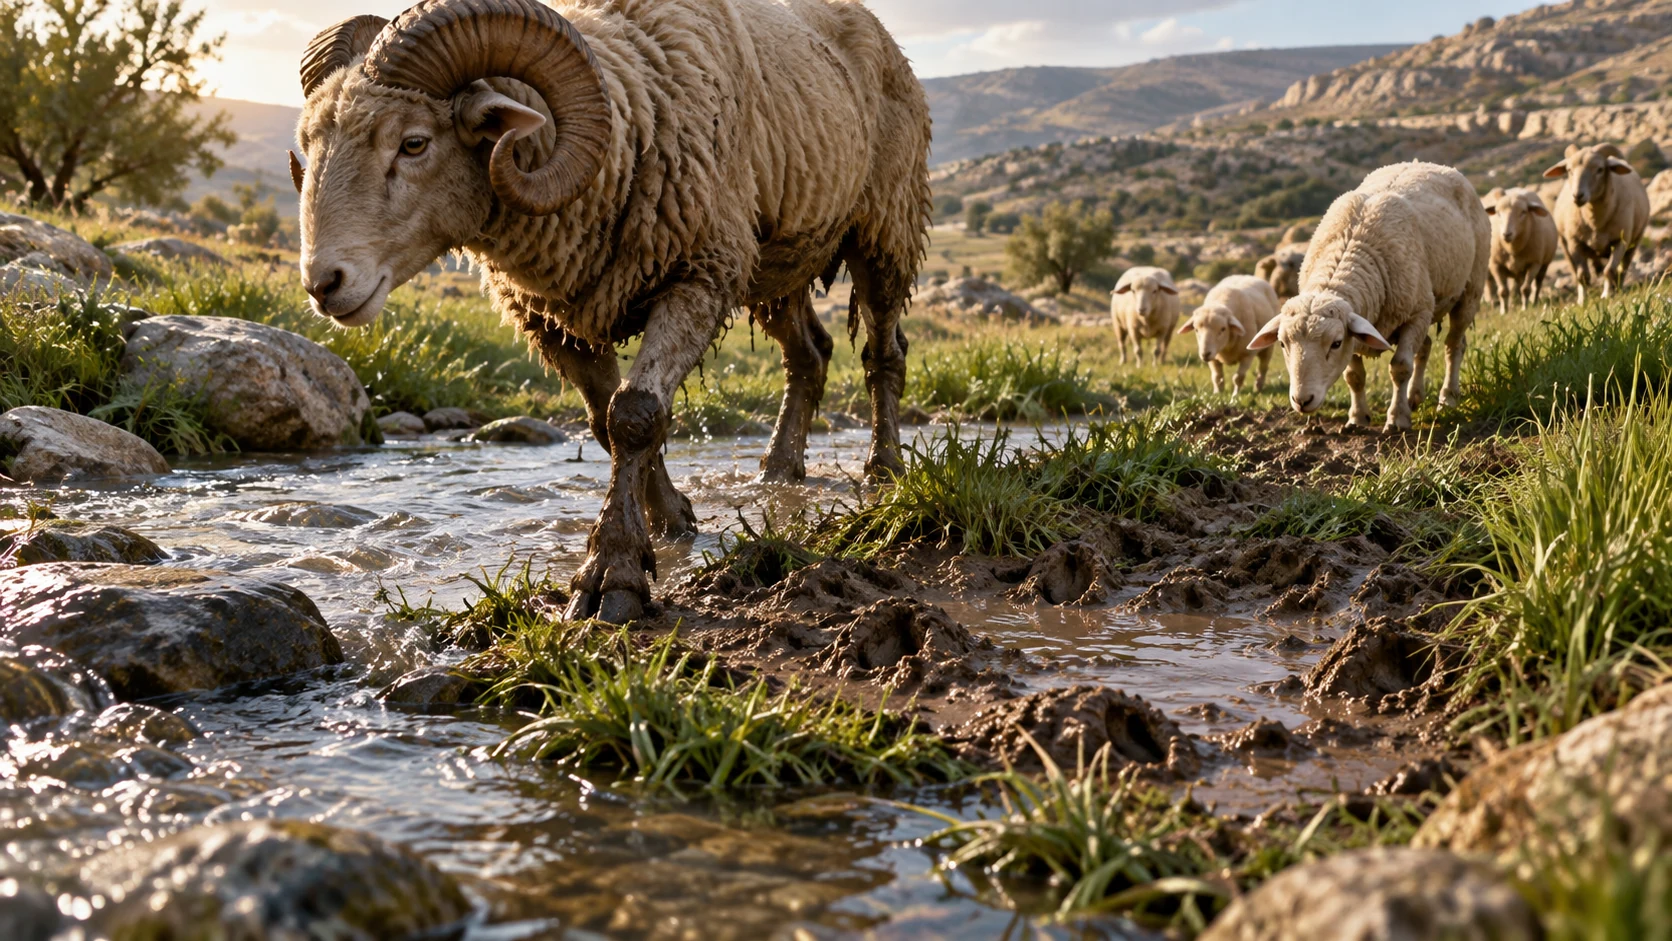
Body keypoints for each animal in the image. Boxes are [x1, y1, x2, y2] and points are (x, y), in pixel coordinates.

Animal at [291, 0, 930, 622]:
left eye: (414, 143)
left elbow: (636, 416)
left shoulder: (698, 274)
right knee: (810, 356)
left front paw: (612, 573)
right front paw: (671, 520)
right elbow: (604, 422)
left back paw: (884, 470)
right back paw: (778, 470)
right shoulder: (553, 319)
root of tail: (875, 27)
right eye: (310, 143)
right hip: (776, 263)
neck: (631, 122)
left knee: (883, 354)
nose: (323, 284)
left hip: (885, 229)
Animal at [1247, 161, 1490, 431]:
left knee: (1453, 345)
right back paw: (1414, 397)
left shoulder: (1416, 313)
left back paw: (1447, 398)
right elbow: (1354, 376)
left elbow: (1400, 367)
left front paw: (1397, 419)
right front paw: (1357, 418)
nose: (1302, 400)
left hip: (1471, 290)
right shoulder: (1358, 324)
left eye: (1335, 343)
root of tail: (1431, 164)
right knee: (1425, 346)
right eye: (1282, 343)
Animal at [1544, 143, 1650, 303]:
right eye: (1569, 170)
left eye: (1600, 169)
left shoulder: (1620, 241)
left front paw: (1606, 295)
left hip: (1634, 242)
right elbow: (1582, 275)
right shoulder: (1575, 243)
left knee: (1622, 270)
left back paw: (1617, 290)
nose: (1577, 196)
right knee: (1576, 272)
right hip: (1565, 246)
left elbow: (1609, 270)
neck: (1595, 221)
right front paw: (1582, 301)